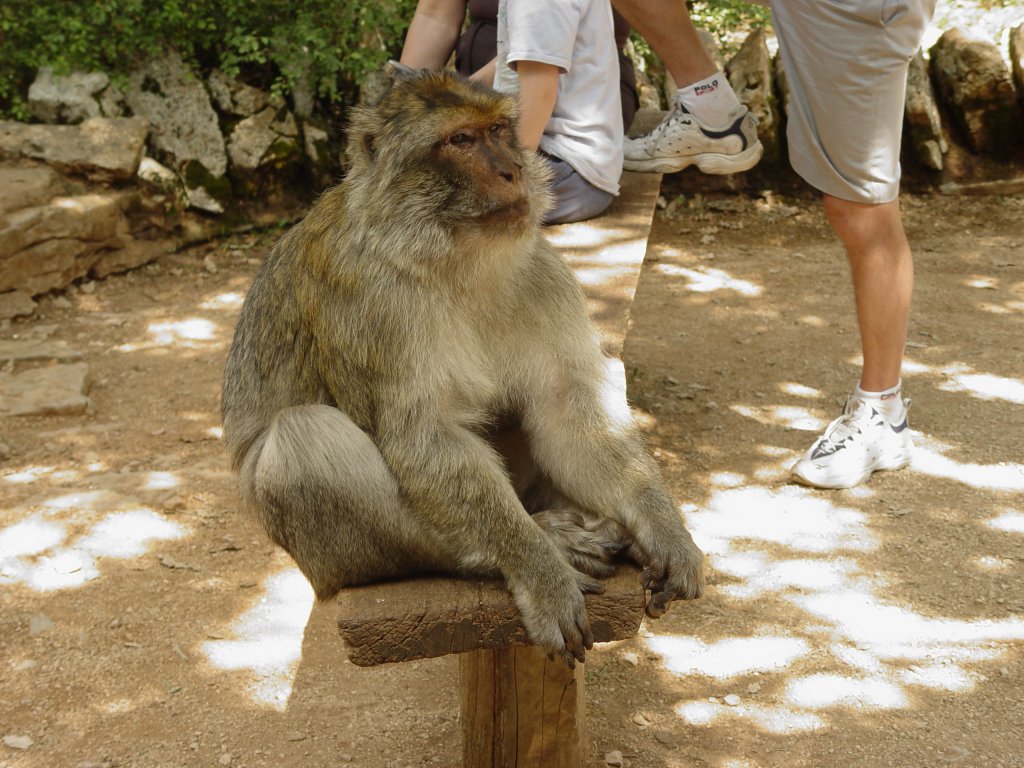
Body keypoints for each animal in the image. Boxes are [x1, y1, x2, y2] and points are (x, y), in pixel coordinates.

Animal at [222, 70, 704, 667]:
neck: (450, 256)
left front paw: (662, 528)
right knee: (301, 436)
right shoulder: (367, 300)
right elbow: (423, 436)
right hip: (327, 564)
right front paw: (538, 569)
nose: (513, 169)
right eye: (461, 141)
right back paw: (511, 547)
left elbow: (566, 411)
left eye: (497, 130)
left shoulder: (542, 272)